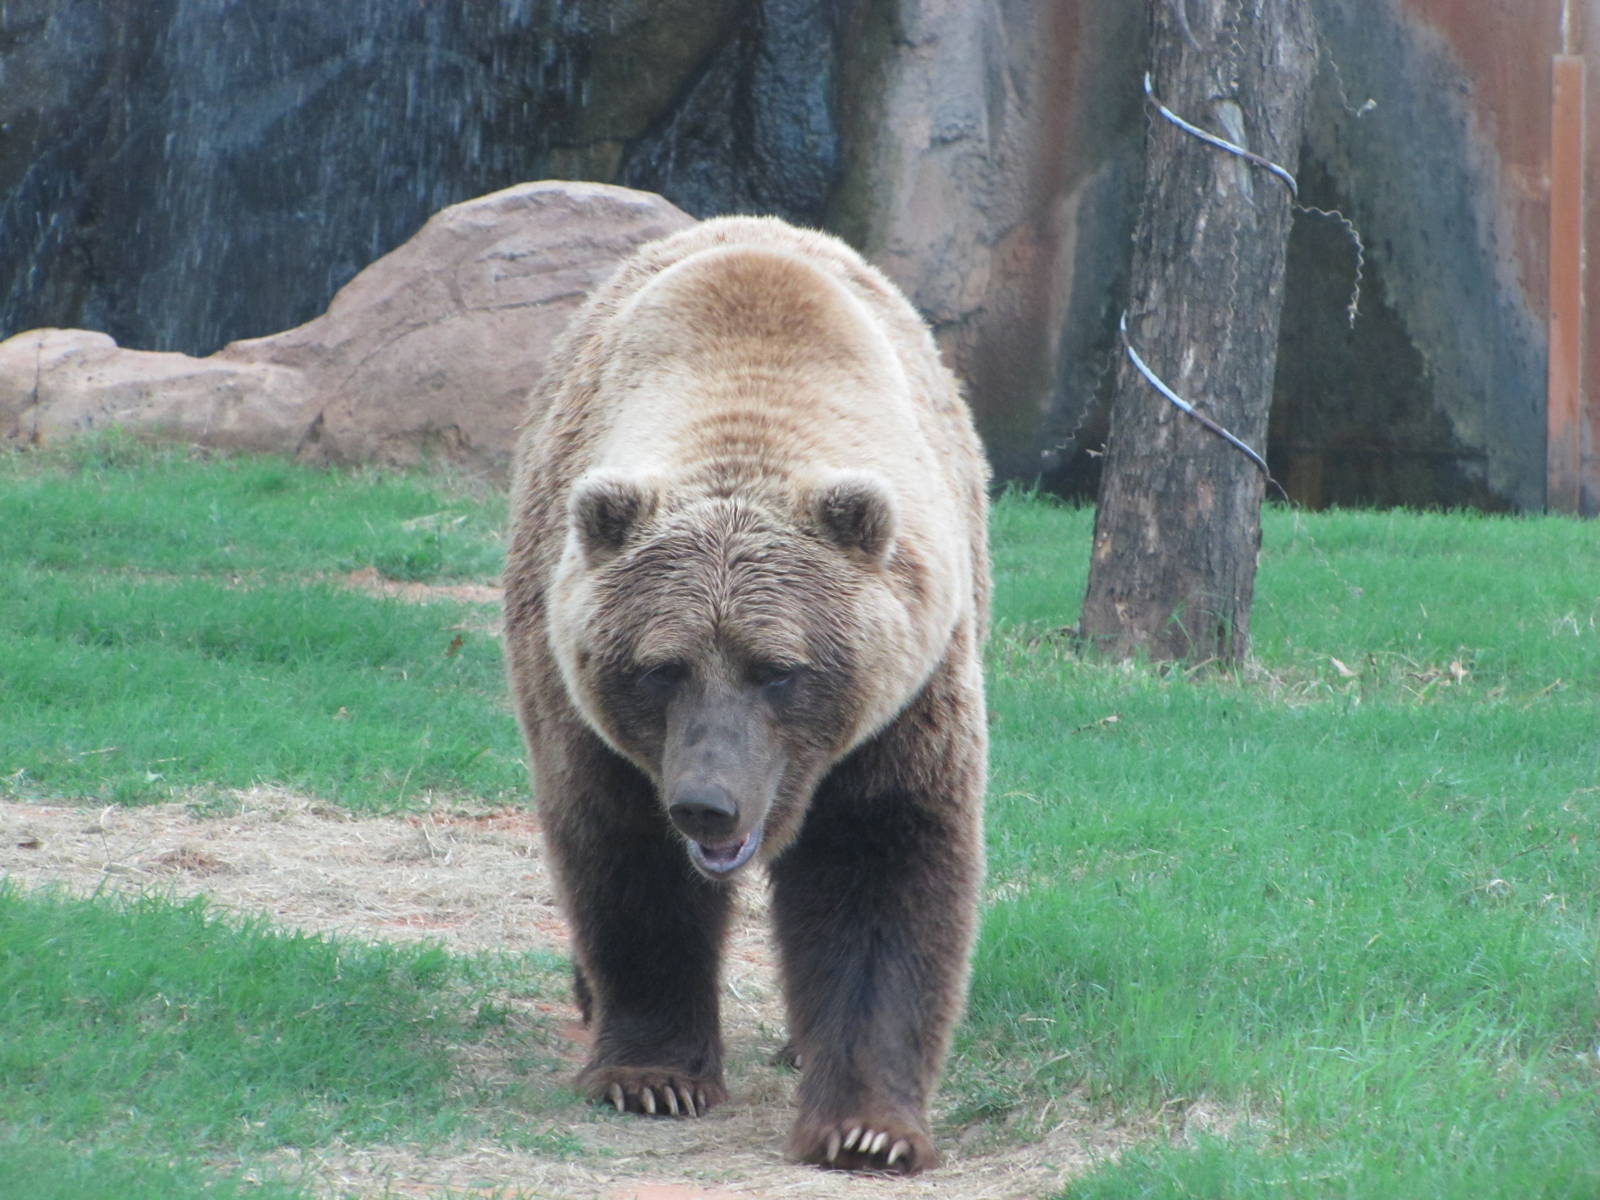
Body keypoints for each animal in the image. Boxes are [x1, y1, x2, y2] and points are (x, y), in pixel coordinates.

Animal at [502, 214, 989, 1175]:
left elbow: (884, 870)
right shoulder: (589, 712)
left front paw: (869, 1128)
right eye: (662, 666)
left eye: (779, 668)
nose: (708, 804)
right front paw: (653, 1075)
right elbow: (628, 860)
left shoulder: (906, 704)